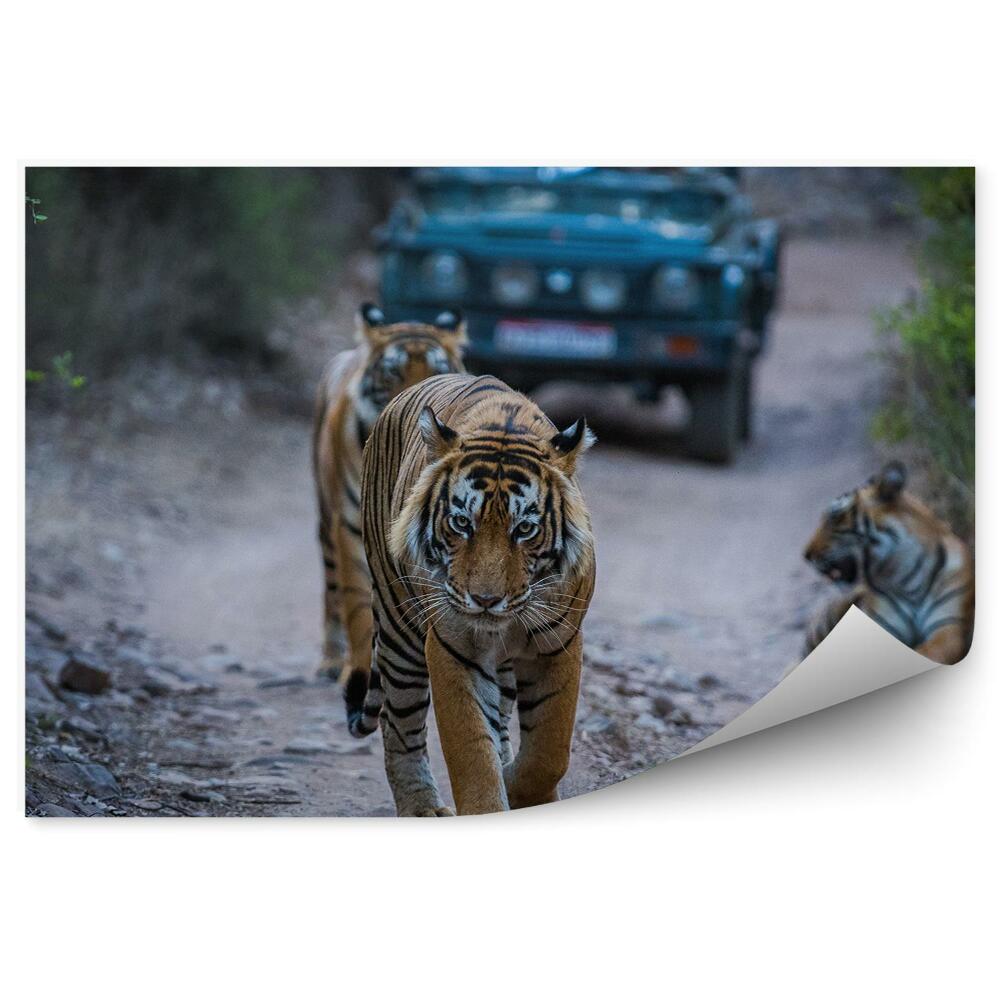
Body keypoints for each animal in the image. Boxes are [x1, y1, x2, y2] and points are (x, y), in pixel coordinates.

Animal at [312, 303, 466, 680]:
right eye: (393, 372)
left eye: (438, 370)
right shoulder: (350, 525)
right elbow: (355, 604)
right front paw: (357, 668)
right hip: (326, 518)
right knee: (332, 589)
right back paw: (330, 660)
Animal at [347, 372, 596, 816]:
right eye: (462, 523)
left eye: (525, 529)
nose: (485, 601)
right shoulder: (452, 647)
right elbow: (471, 752)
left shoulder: (560, 643)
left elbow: (549, 752)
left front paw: (522, 788)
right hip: (398, 628)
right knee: (400, 726)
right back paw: (422, 808)